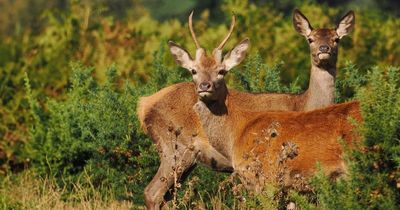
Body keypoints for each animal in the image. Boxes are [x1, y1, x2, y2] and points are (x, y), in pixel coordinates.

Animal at [138, 9, 354, 208]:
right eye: (310, 39)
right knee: (152, 192)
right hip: (175, 147)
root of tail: (144, 104)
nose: (324, 49)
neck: (304, 104)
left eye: (336, 39)